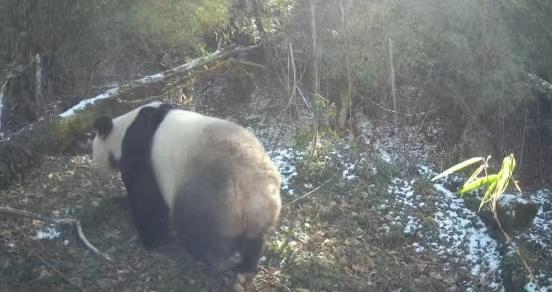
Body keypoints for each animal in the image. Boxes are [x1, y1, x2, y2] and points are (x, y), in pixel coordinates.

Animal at [91, 101, 280, 272]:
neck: (124, 128)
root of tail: (257, 193)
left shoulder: (138, 146)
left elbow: (144, 193)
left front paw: (150, 239)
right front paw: (119, 201)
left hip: (210, 195)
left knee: (199, 230)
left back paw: (213, 261)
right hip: (256, 213)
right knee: (253, 241)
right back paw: (245, 266)